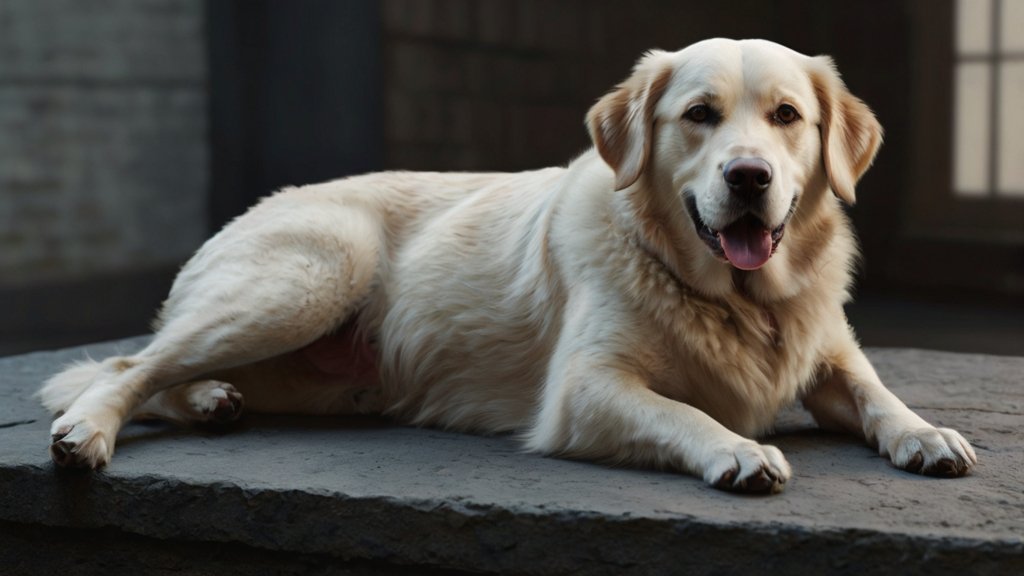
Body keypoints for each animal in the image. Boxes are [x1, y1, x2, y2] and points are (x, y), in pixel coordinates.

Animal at [39, 38, 974, 491]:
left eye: (786, 116)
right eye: (700, 115)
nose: (750, 178)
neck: (737, 299)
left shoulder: (831, 352)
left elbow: (879, 395)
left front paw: (927, 433)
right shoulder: (584, 391)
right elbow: (682, 414)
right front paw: (737, 451)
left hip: (322, 371)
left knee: (159, 369)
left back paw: (211, 400)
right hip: (310, 276)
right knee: (128, 364)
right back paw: (91, 430)